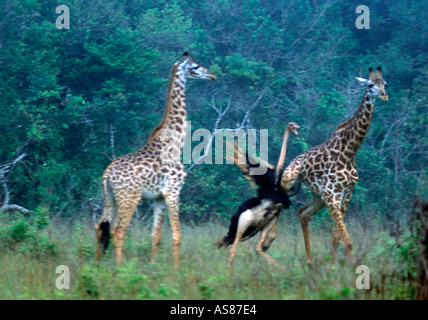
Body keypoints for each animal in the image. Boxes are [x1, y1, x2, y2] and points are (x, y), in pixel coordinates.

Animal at [97, 52, 217, 268]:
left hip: (110, 197)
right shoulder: (173, 191)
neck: (175, 143)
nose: (212, 75)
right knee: (118, 230)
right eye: (195, 66)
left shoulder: (158, 198)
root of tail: (107, 176)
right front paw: (176, 270)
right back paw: (119, 268)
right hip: (129, 197)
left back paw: (96, 264)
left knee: (99, 227)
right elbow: (177, 236)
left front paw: (154, 267)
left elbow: (156, 236)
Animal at [280, 67, 388, 264]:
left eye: (385, 83)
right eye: (370, 85)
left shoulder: (346, 193)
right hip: (290, 182)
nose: (384, 95)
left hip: (318, 196)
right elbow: (347, 239)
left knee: (302, 212)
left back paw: (310, 262)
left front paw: (334, 265)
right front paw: (349, 269)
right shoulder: (332, 194)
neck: (350, 151)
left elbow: (336, 236)